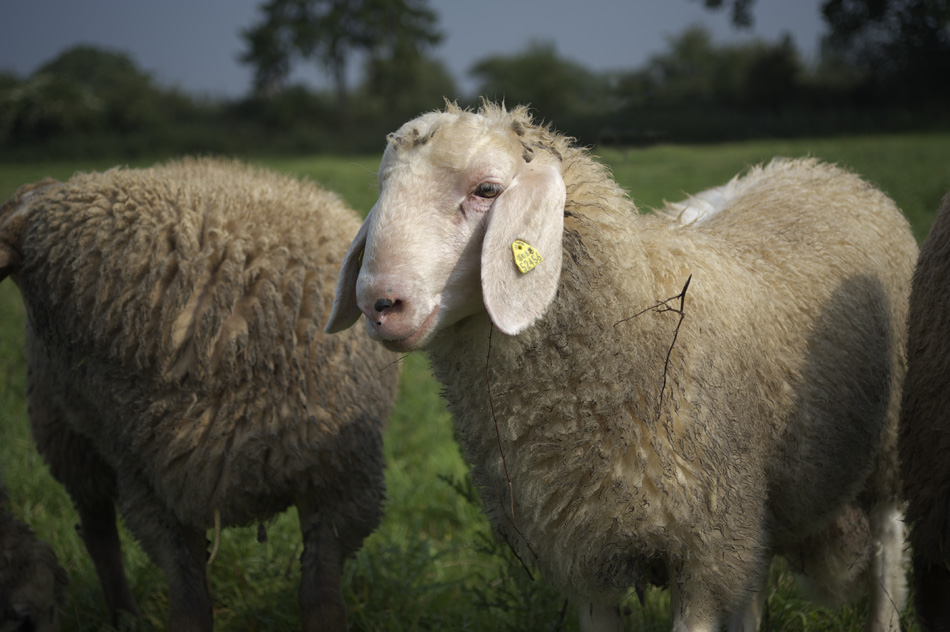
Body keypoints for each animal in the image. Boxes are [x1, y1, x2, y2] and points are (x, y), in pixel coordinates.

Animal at [0, 158, 400, 632]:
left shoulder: (339, 482)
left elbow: (321, 601)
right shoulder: (155, 494)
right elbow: (189, 606)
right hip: (68, 435)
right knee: (99, 531)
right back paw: (124, 615)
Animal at [326, 103, 916, 632]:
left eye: (487, 191)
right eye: (383, 189)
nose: (379, 303)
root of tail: (818, 166)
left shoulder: (702, 551)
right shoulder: (586, 552)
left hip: (884, 444)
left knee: (888, 544)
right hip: (754, 504)